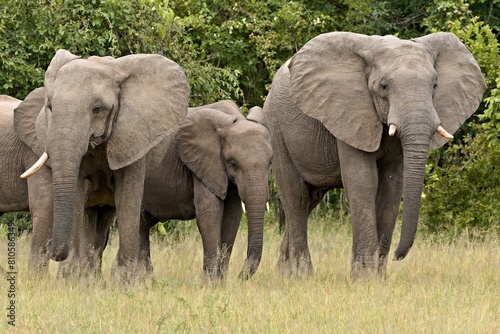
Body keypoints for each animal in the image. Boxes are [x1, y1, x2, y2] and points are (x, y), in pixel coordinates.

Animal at [13, 49, 190, 280]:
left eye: (97, 108)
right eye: (49, 107)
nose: (53, 252)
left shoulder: (132, 136)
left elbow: (128, 200)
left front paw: (126, 280)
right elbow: (77, 195)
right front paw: (71, 279)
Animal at [264, 31, 486, 278]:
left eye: (435, 85)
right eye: (384, 86)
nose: (398, 256)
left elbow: (392, 184)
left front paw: (378, 278)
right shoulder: (349, 111)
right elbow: (363, 180)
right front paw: (363, 278)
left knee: (311, 200)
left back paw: (285, 274)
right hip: (276, 128)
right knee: (296, 197)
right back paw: (303, 275)